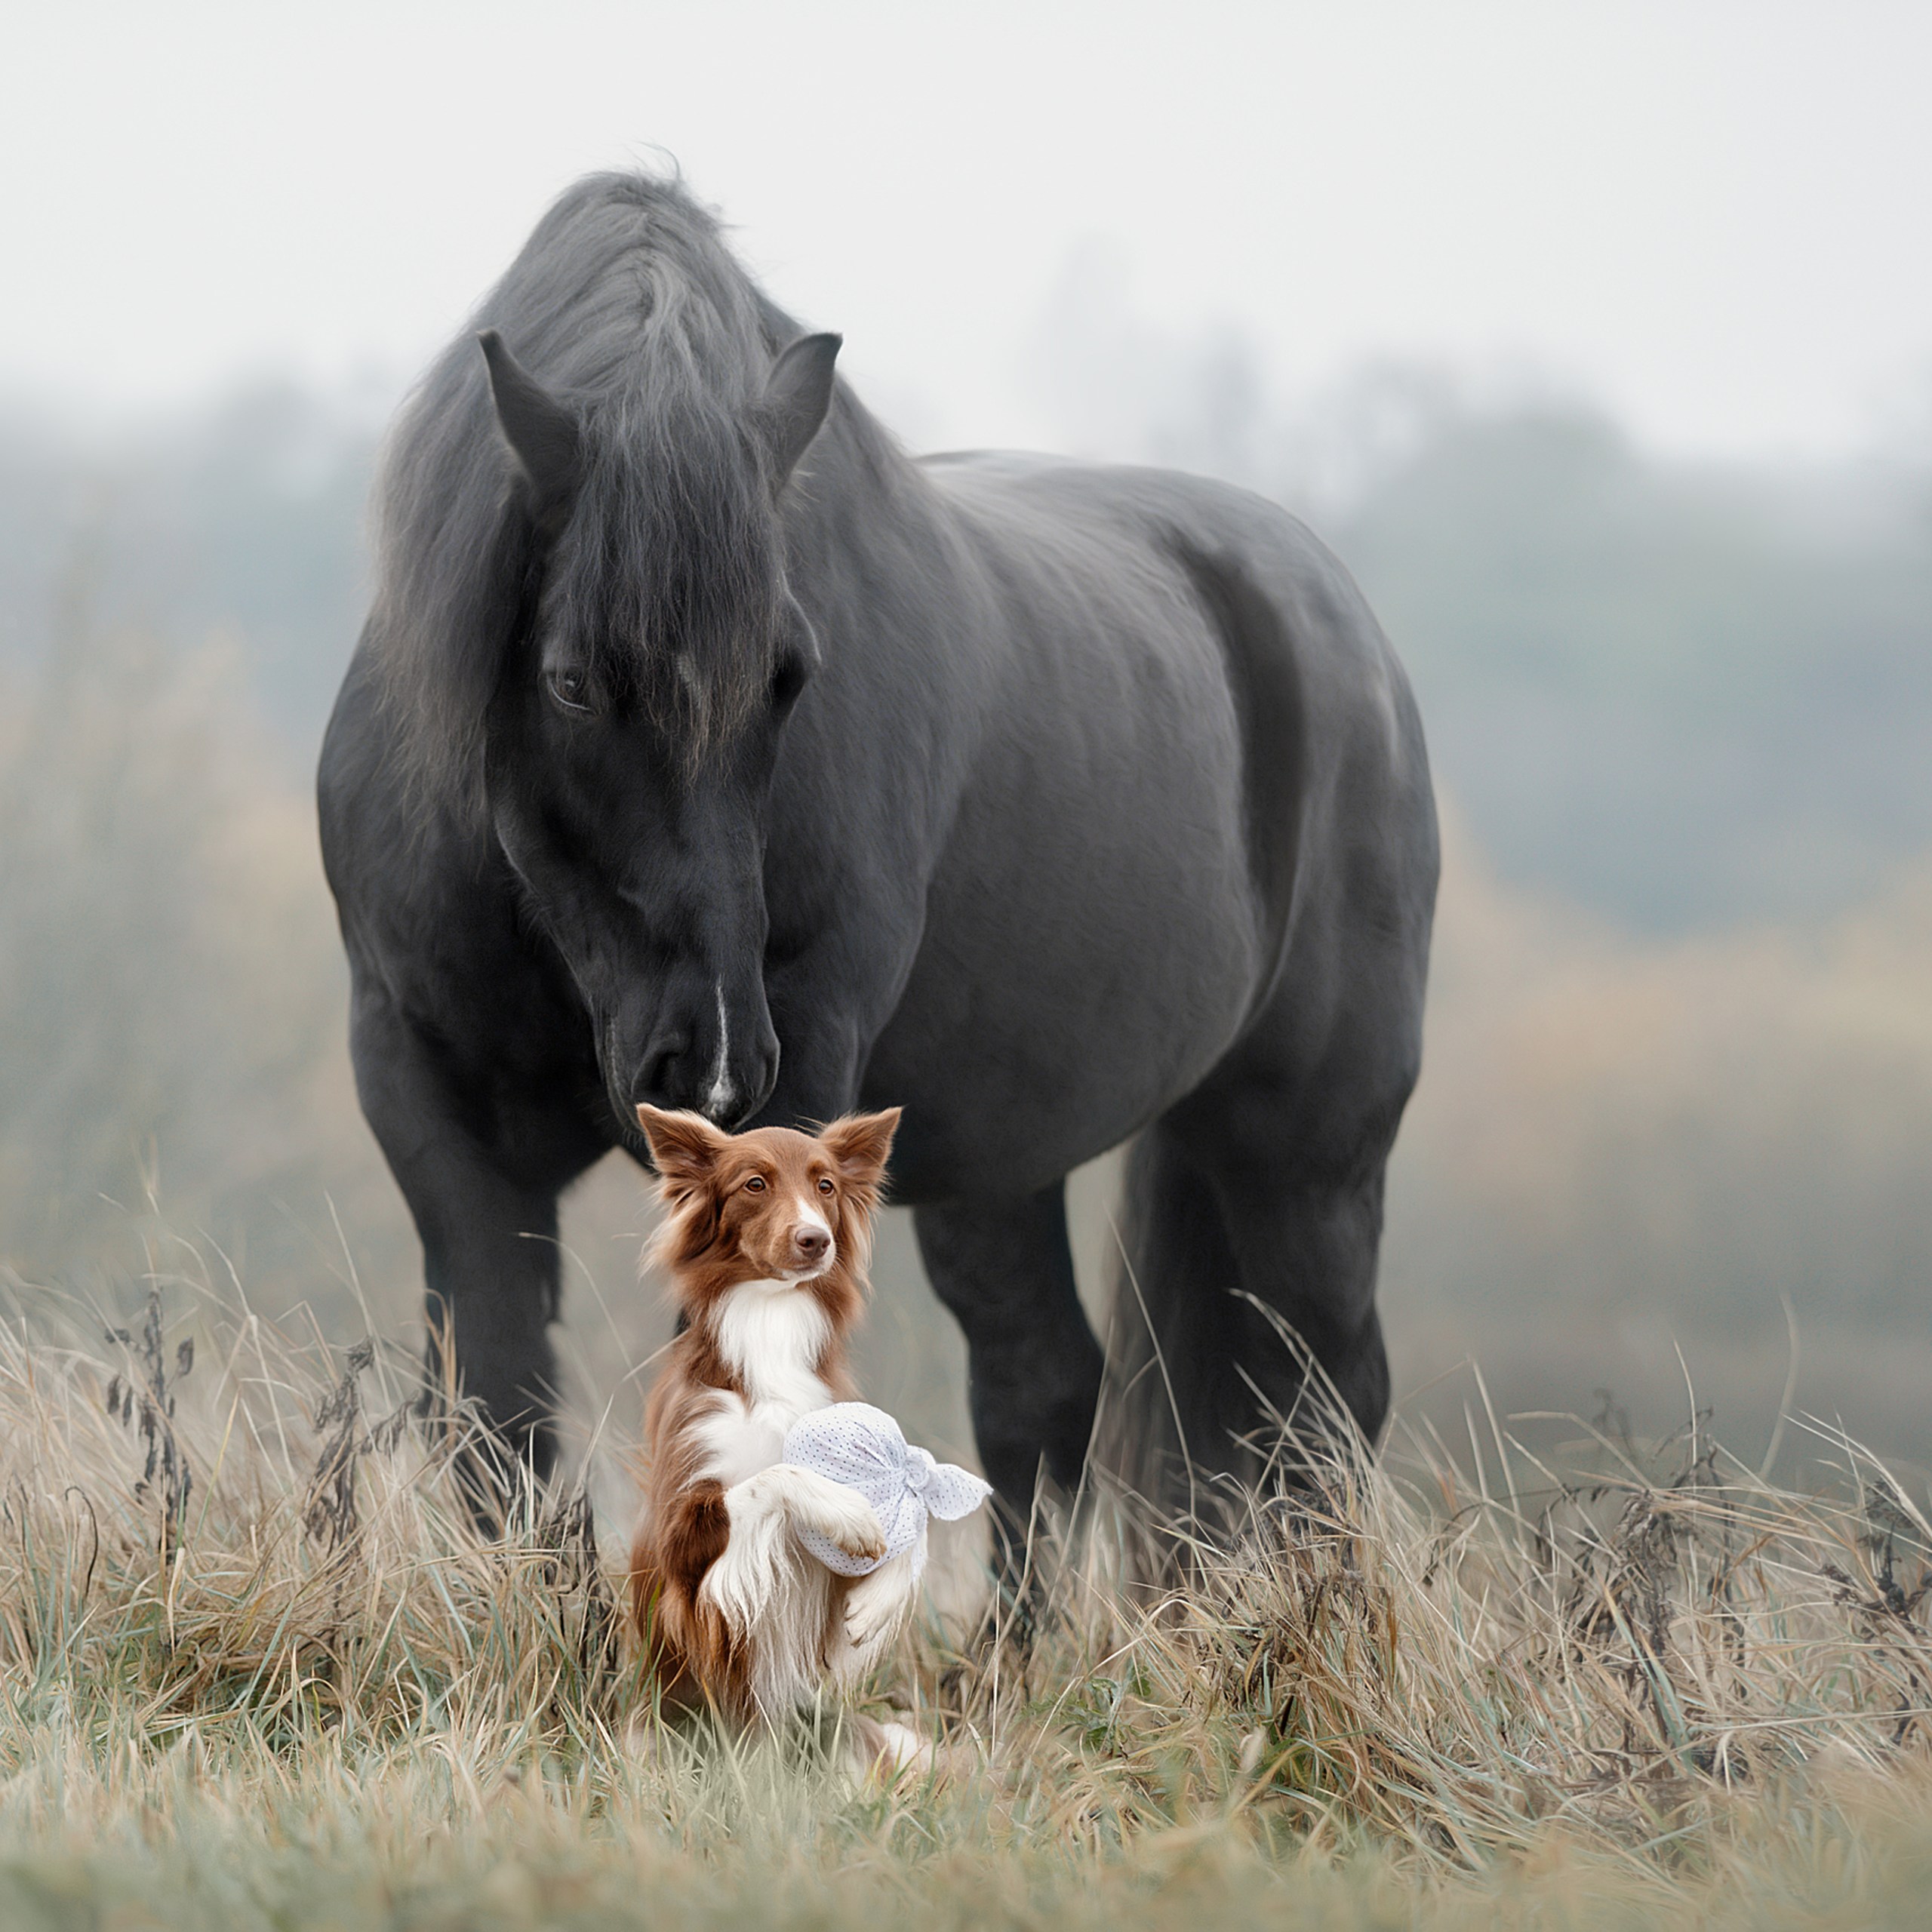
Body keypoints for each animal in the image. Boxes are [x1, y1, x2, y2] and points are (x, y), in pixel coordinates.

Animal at [320, 177, 1437, 1537]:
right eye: (572, 683)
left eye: (790, 676)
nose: (713, 1063)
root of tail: (1332, 622)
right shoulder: (435, 1107)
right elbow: (498, 1417)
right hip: (1004, 1155)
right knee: (1045, 1391)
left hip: (1307, 1155)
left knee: (1320, 1404)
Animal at [618, 1105, 919, 1739]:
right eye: (754, 1184)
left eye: (825, 1186)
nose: (815, 1239)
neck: (770, 1323)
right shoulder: (680, 1545)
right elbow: (772, 1477)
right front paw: (847, 1512)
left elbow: (905, 1514)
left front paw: (876, 1600)